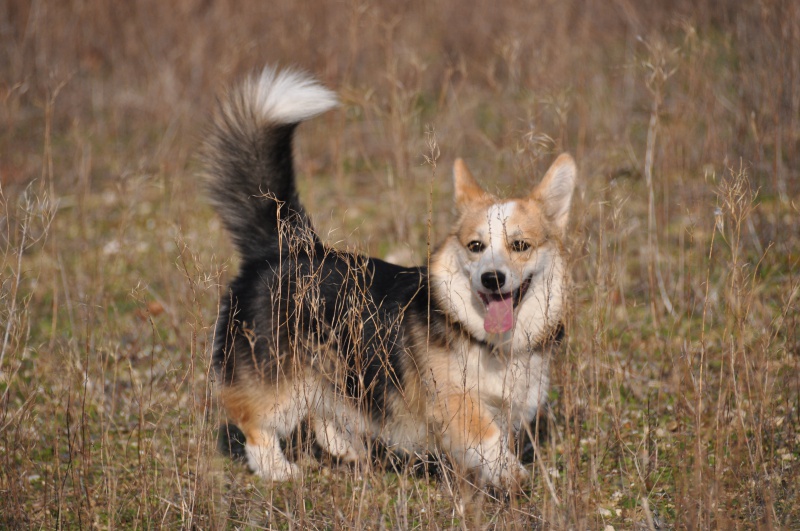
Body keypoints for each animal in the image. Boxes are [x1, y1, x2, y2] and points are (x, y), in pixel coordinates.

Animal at [203, 66, 572, 490]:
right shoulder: (453, 399)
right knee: (254, 423)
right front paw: (515, 478)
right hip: (279, 378)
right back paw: (279, 470)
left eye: (520, 245)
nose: (491, 279)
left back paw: (349, 450)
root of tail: (287, 245)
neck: (484, 338)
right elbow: (487, 437)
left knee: (325, 413)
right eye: (476, 246)